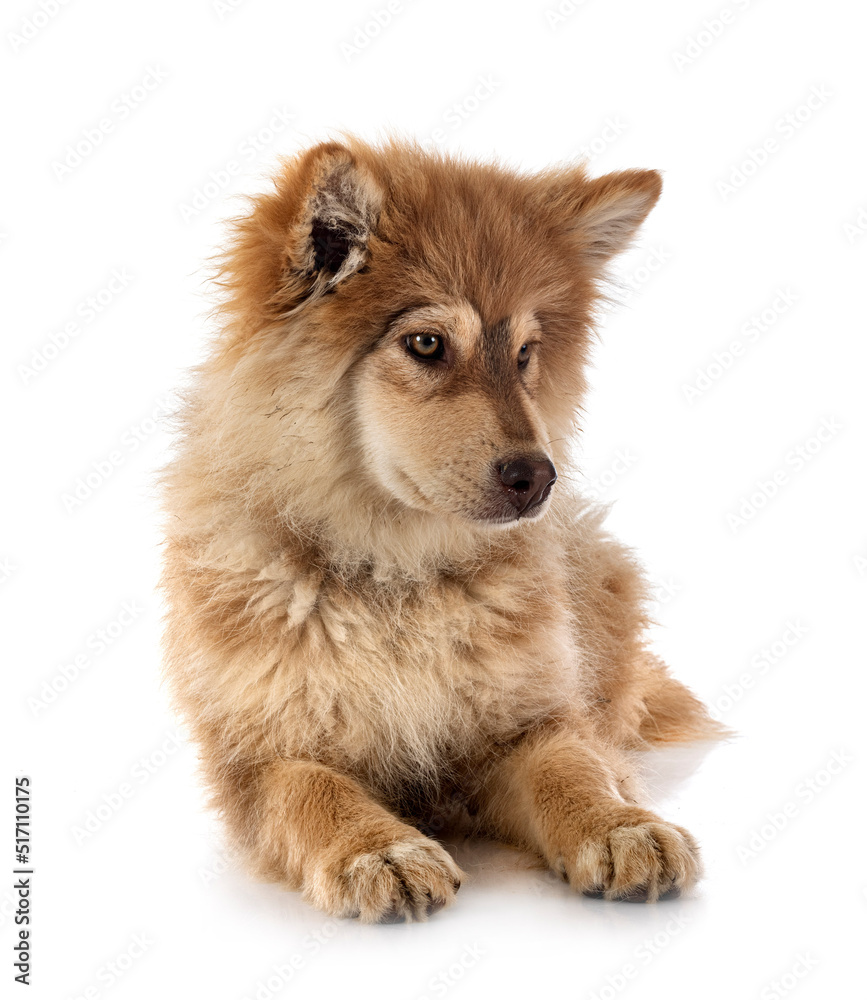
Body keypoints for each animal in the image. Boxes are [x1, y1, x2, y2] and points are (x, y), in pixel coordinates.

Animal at [161, 135, 724, 920]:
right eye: (426, 344)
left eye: (525, 354)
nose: (537, 476)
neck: (394, 571)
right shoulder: (262, 752)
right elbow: (315, 792)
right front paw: (378, 848)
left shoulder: (525, 723)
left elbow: (573, 767)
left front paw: (619, 827)